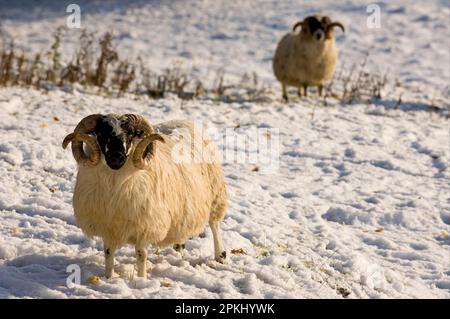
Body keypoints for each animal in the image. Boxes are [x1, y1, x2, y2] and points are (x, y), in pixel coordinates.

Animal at [62, 114, 229, 278]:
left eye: (131, 133)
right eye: (101, 133)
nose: (116, 157)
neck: (116, 184)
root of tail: (184, 120)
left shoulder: (145, 225)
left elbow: (141, 254)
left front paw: (142, 279)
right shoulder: (108, 227)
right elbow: (108, 253)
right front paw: (109, 277)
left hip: (216, 195)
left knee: (215, 225)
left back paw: (220, 256)